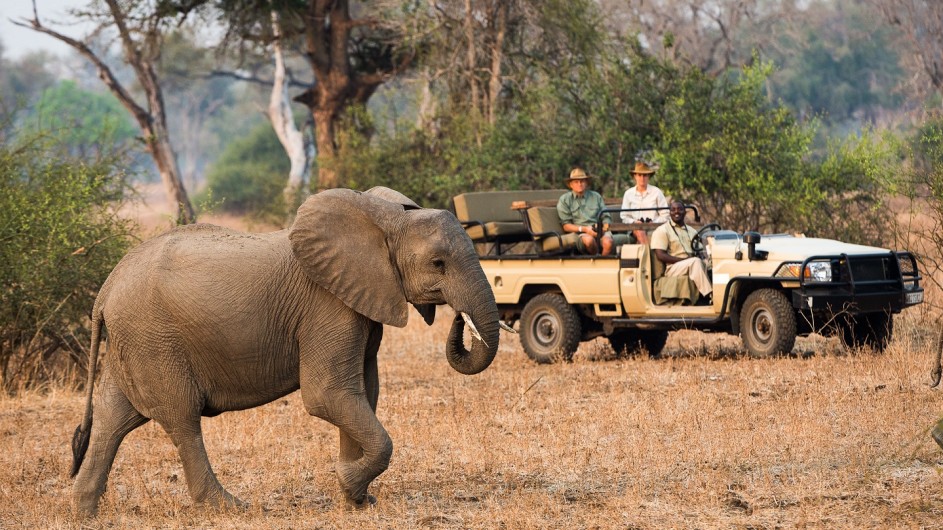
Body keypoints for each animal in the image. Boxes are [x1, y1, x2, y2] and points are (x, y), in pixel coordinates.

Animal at [69, 185, 506, 512]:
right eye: (438, 264)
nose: (458, 319)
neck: (384, 218)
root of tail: (105, 289)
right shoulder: (327, 305)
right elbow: (328, 394)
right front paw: (349, 484)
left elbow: (363, 391)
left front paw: (356, 500)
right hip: (153, 339)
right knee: (182, 419)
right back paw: (230, 508)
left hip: (135, 339)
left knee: (113, 418)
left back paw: (84, 510)